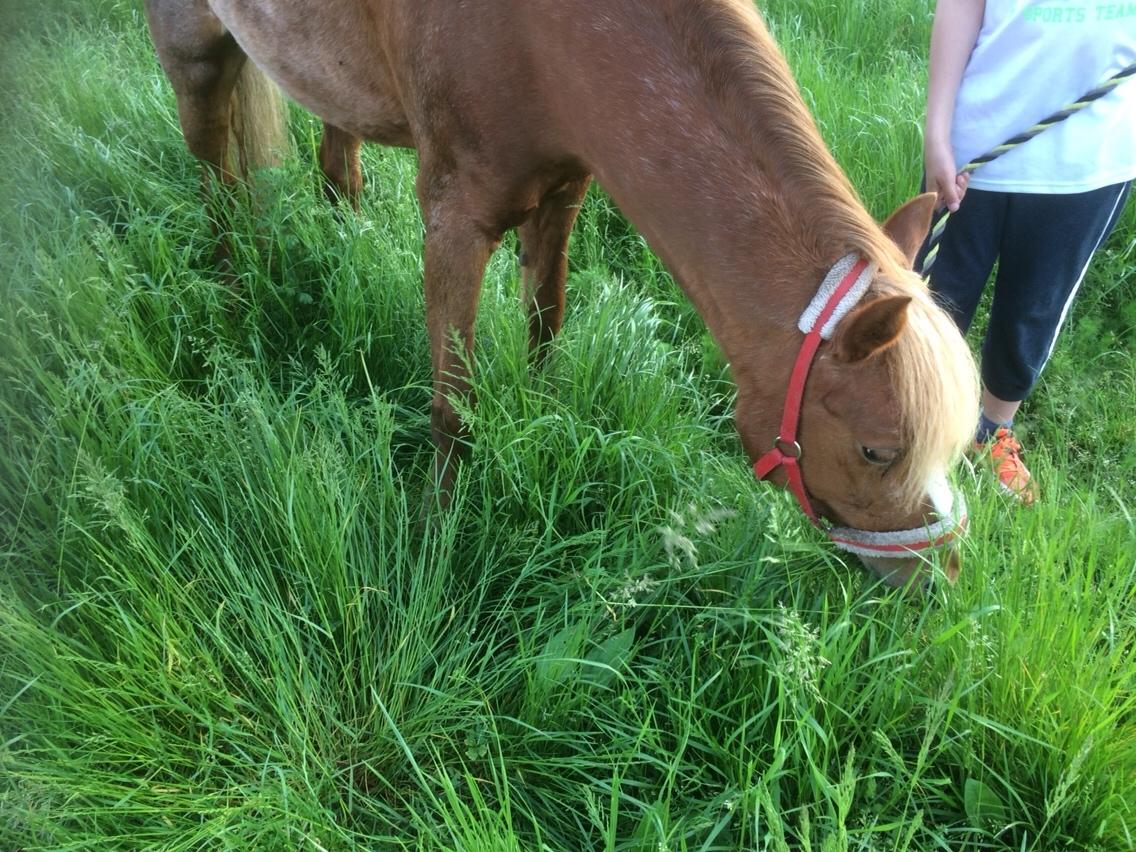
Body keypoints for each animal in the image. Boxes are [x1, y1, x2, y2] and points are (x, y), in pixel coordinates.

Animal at [144, 0, 976, 586]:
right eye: (878, 450)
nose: (936, 580)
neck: (546, 33)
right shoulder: (455, 221)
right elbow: (453, 405)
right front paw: (438, 534)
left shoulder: (563, 194)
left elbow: (547, 331)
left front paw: (545, 436)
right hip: (196, 56)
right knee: (217, 180)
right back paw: (233, 307)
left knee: (335, 167)